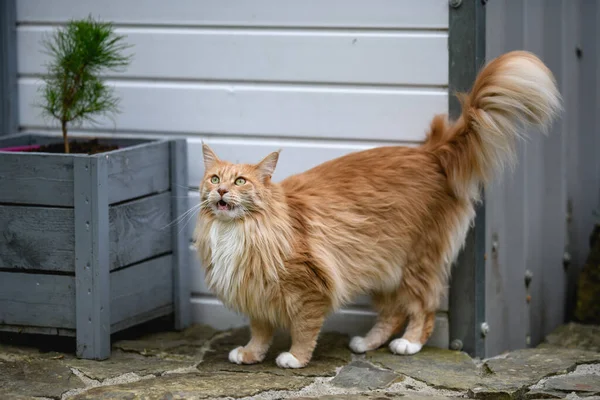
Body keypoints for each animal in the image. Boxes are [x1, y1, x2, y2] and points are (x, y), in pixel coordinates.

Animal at [193, 51, 564, 370]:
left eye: (240, 181)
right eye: (214, 178)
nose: (221, 191)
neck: (237, 232)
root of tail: (431, 152)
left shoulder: (307, 290)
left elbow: (304, 329)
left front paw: (295, 358)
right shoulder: (255, 295)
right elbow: (260, 332)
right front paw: (250, 354)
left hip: (417, 261)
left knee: (423, 308)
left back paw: (409, 344)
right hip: (382, 264)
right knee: (392, 313)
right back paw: (366, 344)